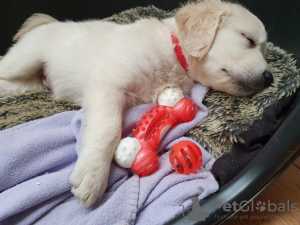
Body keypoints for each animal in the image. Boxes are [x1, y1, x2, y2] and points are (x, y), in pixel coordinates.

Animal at [0, 0, 274, 207]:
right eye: (248, 40)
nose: (270, 78)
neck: (173, 51)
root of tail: (47, 24)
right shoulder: (109, 85)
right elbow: (108, 129)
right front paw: (93, 176)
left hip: (29, 83)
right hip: (25, 59)